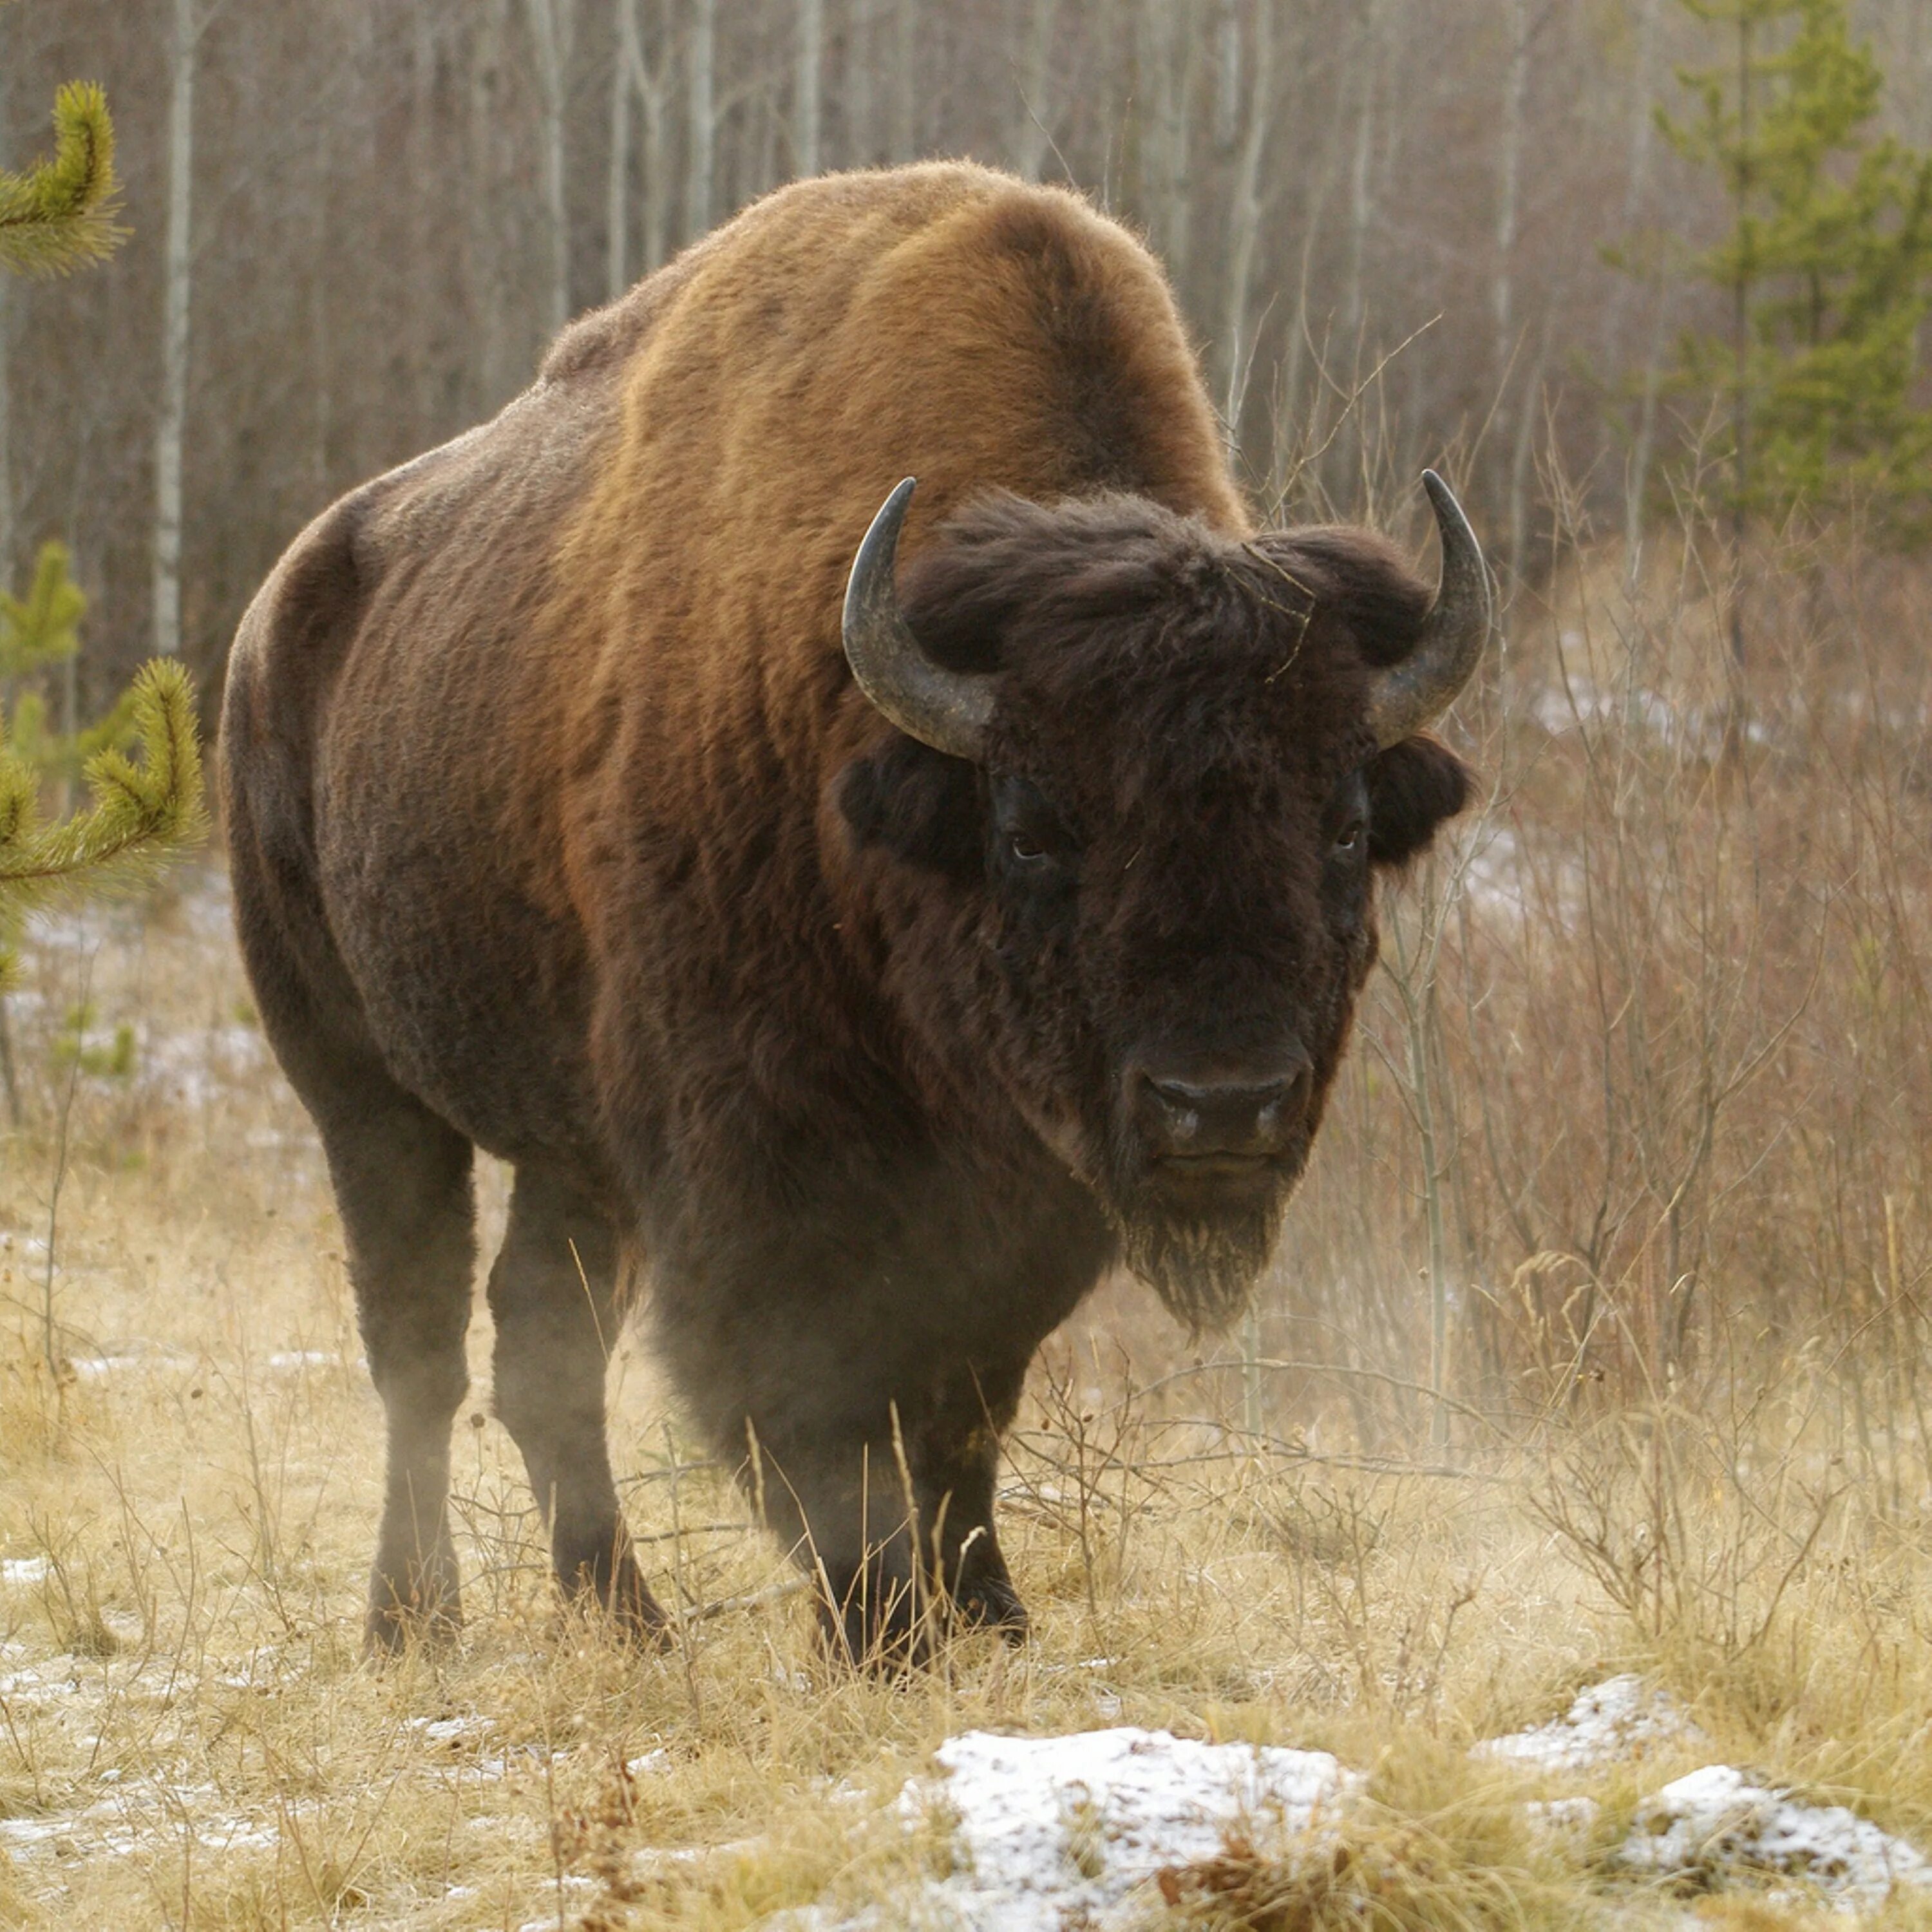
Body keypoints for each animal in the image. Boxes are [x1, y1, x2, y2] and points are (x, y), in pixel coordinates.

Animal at [230, 162, 1492, 1662]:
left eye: (1345, 824)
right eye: (1031, 827)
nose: (1222, 1105)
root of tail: (274, 620)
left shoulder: (1021, 1192)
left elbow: (965, 1401)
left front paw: (991, 1611)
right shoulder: (759, 1163)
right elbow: (813, 1402)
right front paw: (885, 1628)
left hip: (571, 1144)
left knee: (541, 1341)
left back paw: (633, 1620)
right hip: (358, 1083)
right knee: (416, 1340)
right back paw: (413, 1620)